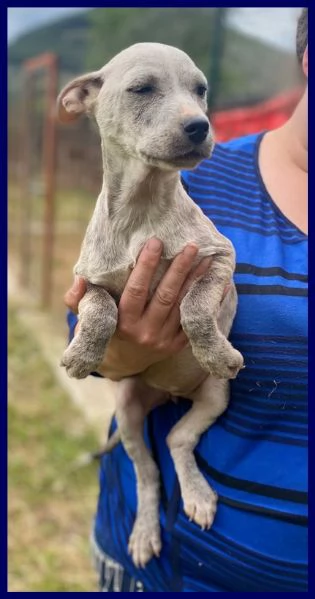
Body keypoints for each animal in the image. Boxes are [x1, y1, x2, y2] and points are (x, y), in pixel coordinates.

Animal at [57, 43, 244, 572]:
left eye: (201, 90)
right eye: (142, 89)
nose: (200, 125)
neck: (142, 212)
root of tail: (167, 395)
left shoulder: (220, 259)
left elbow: (195, 307)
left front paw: (214, 350)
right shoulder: (87, 281)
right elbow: (101, 310)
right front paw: (82, 353)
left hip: (215, 396)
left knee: (178, 441)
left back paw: (197, 495)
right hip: (127, 411)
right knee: (146, 472)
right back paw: (143, 532)